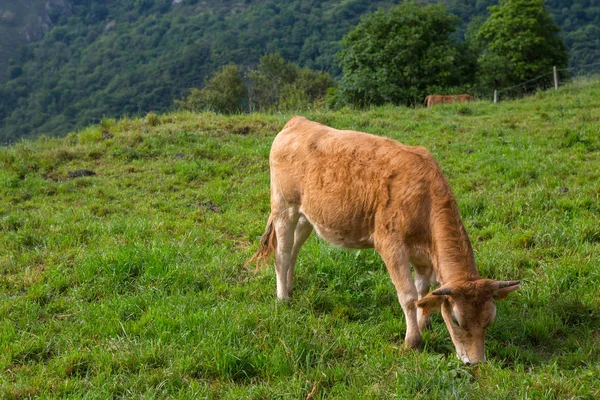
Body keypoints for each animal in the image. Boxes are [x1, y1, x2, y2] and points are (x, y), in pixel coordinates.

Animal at [250, 116, 520, 366]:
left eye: (489, 320)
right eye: (456, 320)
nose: (476, 362)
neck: (423, 198)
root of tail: (298, 121)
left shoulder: (423, 257)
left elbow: (423, 290)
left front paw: (425, 323)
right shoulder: (391, 246)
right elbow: (408, 296)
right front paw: (413, 341)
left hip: (308, 216)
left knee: (294, 250)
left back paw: (290, 287)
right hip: (284, 207)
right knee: (282, 254)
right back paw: (283, 298)